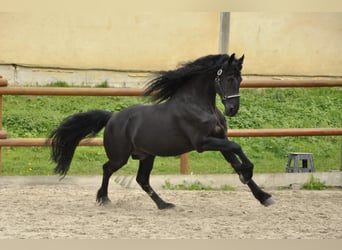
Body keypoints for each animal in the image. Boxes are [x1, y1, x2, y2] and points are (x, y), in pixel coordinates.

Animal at [49, 54, 276, 209]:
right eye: (228, 78)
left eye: (240, 79)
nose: (232, 109)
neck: (200, 106)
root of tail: (112, 118)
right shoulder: (203, 143)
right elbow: (237, 148)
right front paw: (247, 173)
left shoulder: (219, 139)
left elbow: (235, 160)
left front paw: (263, 196)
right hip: (120, 157)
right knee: (107, 169)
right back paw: (104, 198)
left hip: (146, 156)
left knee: (142, 180)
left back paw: (164, 204)